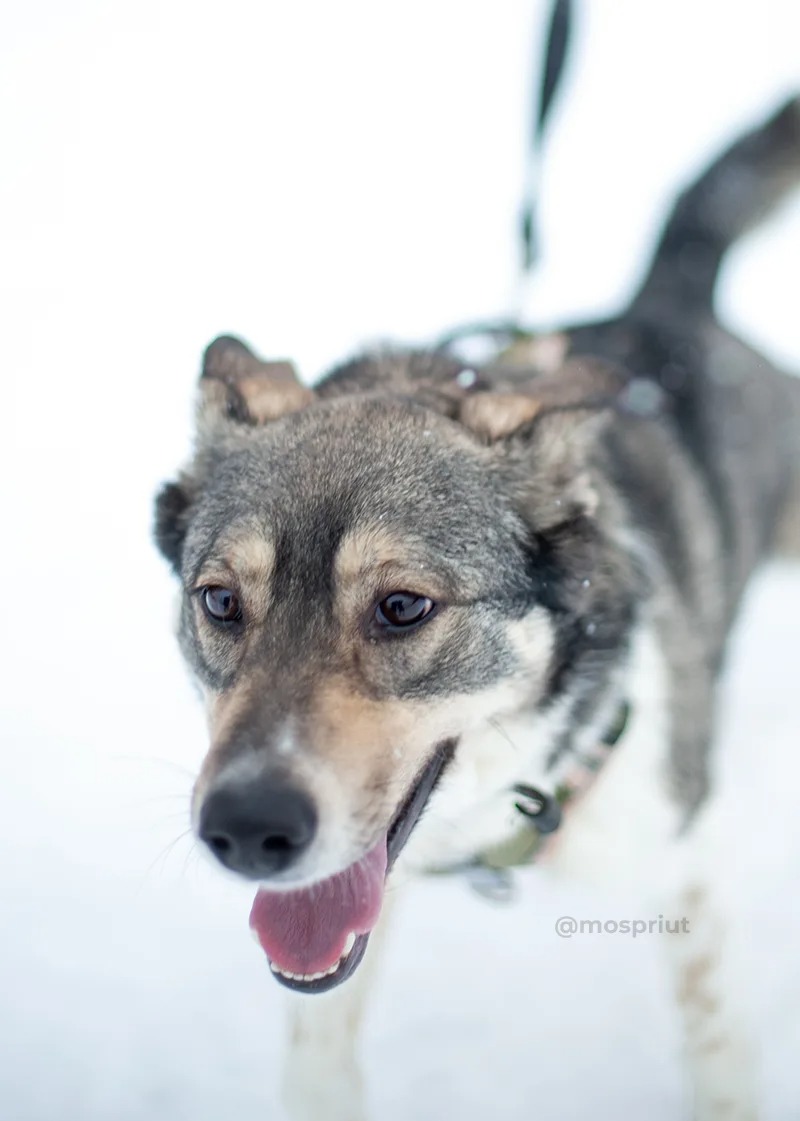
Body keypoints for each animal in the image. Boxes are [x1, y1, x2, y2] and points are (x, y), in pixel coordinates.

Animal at [154, 98, 797, 1121]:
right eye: (220, 600)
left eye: (403, 606)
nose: (248, 828)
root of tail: (664, 302)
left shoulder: (683, 866)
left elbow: (717, 1042)